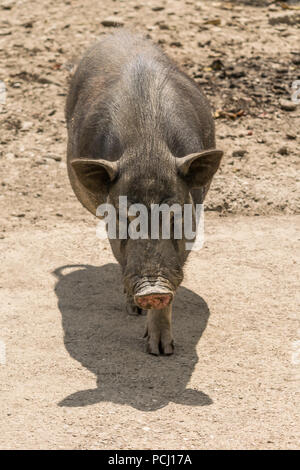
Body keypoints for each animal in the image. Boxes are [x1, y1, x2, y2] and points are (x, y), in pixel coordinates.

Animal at [67, 31, 224, 354]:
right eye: (125, 219)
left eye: (175, 217)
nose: (152, 289)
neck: (148, 150)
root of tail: (119, 32)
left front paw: (162, 351)